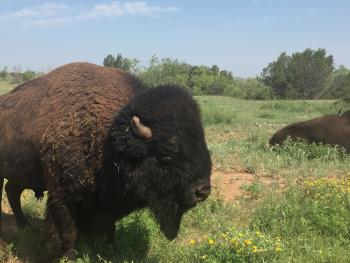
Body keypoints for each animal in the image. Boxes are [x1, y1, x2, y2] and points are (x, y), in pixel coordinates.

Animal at [0, 62, 212, 260]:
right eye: (167, 153)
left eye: (202, 144)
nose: (202, 191)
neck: (110, 140)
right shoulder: (62, 195)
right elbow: (67, 231)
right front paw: (67, 256)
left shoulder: (106, 201)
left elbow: (109, 229)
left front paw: (111, 251)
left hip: (21, 174)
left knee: (11, 191)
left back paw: (25, 225)